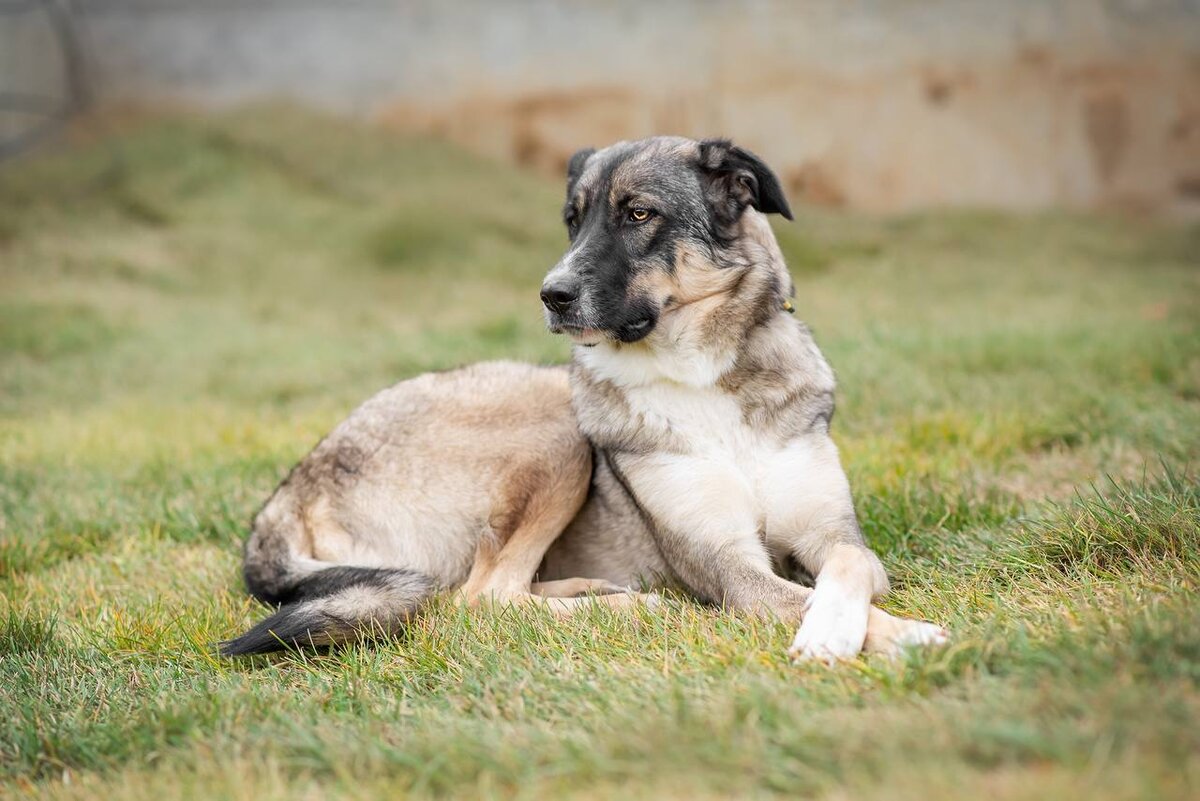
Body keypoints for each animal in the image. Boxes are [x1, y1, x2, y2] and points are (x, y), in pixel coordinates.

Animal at [223, 139, 945, 661]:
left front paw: (838, 622)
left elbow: (851, 565)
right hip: (553, 423)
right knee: (480, 596)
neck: (701, 375)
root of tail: (290, 490)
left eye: (638, 213)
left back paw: (596, 590)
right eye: (573, 222)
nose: (550, 294)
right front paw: (889, 633)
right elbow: (794, 598)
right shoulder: (730, 568)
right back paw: (627, 606)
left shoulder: (833, 532)